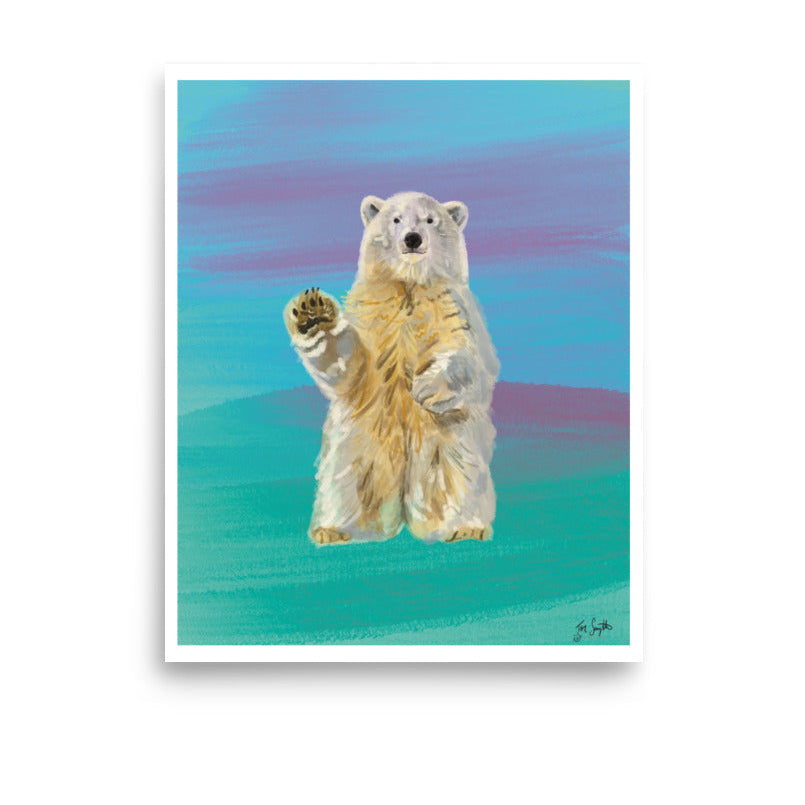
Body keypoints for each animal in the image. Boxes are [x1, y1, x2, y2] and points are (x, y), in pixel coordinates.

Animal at [283, 191, 500, 545]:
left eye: (430, 219)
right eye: (396, 219)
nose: (413, 238)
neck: (408, 288)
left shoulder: (454, 308)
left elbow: (473, 363)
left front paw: (426, 387)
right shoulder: (372, 317)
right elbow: (350, 370)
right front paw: (312, 314)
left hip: (450, 442)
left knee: (458, 477)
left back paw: (462, 527)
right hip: (358, 444)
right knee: (347, 483)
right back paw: (336, 530)